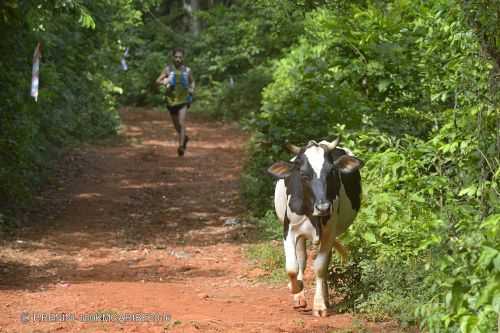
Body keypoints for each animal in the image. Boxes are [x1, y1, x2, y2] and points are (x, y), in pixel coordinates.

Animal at [268, 137, 362, 316]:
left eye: (331, 172)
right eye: (303, 175)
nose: (323, 207)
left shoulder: (329, 232)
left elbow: (320, 266)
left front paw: (319, 305)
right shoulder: (289, 230)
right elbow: (292, 267)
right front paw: (296, 288)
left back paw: (325, 298)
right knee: (301, 259)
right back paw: (299, 295)